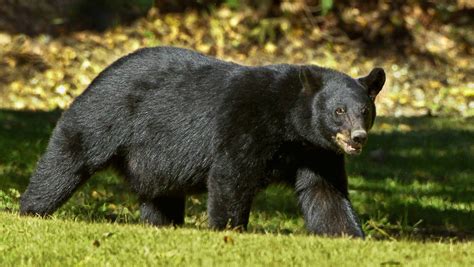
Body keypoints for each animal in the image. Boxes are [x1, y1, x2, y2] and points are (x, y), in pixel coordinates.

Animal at [21, 46, 386, 239]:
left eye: (365, 111)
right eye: (338, 111)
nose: (357, 137)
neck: (289, 123)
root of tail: (98, 74)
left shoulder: (316, 151)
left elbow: (325, 192)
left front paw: (350, 236)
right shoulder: (246, 123)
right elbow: (231, 176)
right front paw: (229, 230)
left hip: (154, 160)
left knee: (160, 195)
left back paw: (163, 225)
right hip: (105, 115)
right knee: (69, 157)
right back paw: (31, 209)